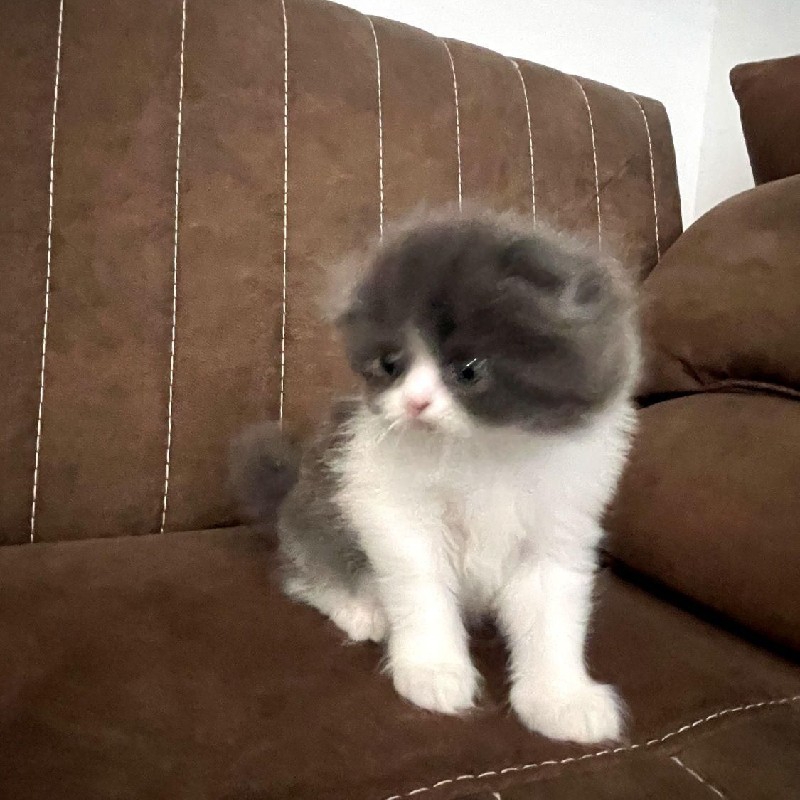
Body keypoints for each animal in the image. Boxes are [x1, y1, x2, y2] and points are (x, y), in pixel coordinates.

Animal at [232, 210, 639, 744]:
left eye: (468, 370)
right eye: (391, 364)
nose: (415, 402)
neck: (484, 452)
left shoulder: (558, 533)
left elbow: (553, 619)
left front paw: (561, 698)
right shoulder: (395, 514)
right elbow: (422, 590)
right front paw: (433, 670)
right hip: (320, 510)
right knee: (303, 573)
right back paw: (360, 608)